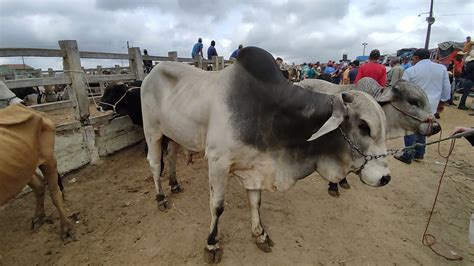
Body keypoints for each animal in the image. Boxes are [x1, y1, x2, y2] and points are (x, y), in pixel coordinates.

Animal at [0, 104, 74, 241]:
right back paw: (38, 218)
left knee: (55, 194)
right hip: (24, 166)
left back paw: (66, 229)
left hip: (48, 159)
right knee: (39, 184)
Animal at [140, 46, 388, 262]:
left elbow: (256, 202)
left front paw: (260, 235)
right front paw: (212, 244)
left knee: (171, 156)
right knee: (154, 164)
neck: (269, 111)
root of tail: (152, 71)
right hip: (152, 131)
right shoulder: (218, 162)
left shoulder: (256, 165)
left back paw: (174, 184)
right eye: (364, 127)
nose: (385, 178)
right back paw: (161, 198)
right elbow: (217, 206)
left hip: (174, 134)